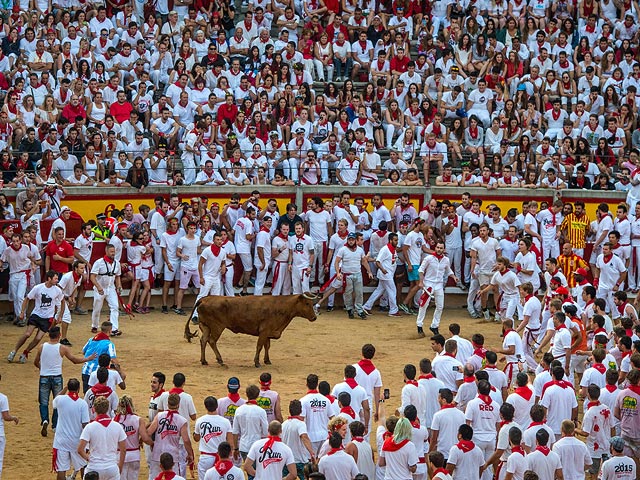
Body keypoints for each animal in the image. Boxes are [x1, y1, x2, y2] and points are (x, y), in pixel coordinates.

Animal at [182, 292, 318, 368]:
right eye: (307, 303)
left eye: (311, 303)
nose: (314, 317)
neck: (280, 306)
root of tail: (204, 299)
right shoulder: (264, 331)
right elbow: (259, 346)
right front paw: (257, 363)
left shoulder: (268, 333)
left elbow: (267, 346)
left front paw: (267, 360)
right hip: (217, 327)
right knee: (211, 341)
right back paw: (220, 360)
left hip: (205, 326)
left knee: (203, 340)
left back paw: (204, 361)